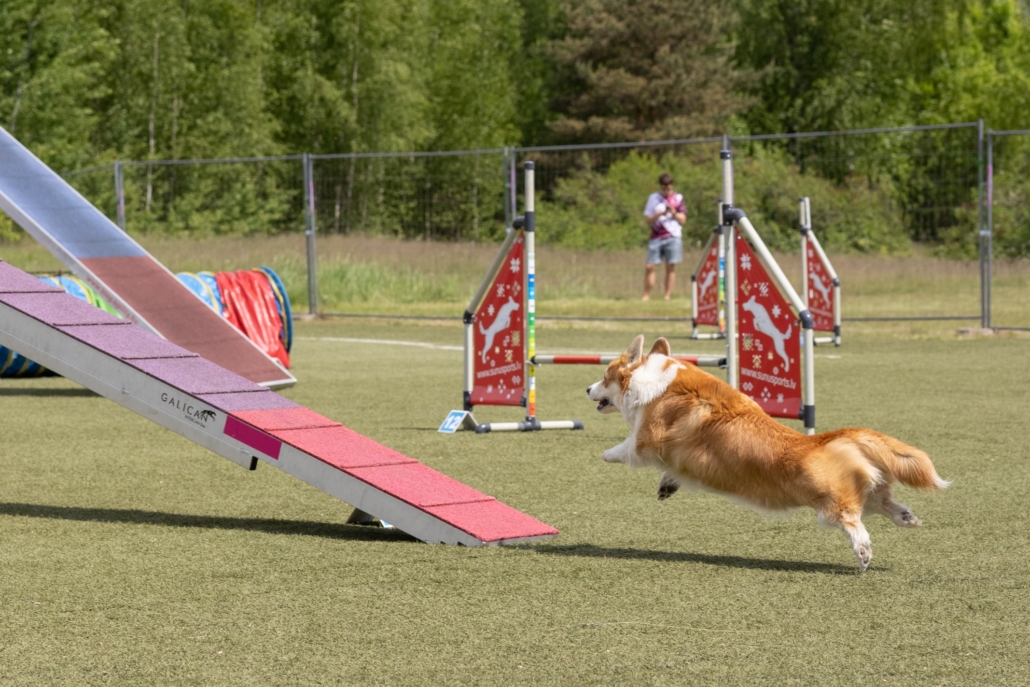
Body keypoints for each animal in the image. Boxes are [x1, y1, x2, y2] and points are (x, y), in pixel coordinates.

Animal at [586, 335, 948, 572]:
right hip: (867, 492)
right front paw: (667, 486)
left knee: (854, 523)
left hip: (830, 504)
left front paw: (605, 454)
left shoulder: (646, 439)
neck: (654, 378)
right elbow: (671, 472)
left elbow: (626, 447)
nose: (586, 388)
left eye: (604, 377)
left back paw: (864, 553)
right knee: (885, 504)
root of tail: (829, 439)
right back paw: (906, 517)